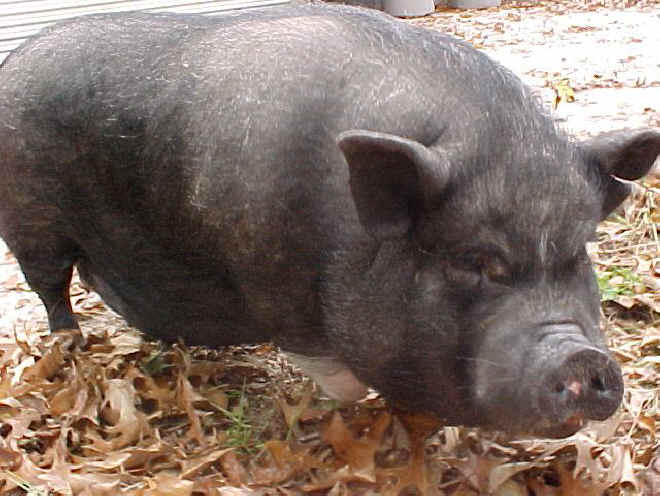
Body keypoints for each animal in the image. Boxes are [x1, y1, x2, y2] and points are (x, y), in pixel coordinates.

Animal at [0, 4, 658, 438]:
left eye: (578, 254)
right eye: (475, 260)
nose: (586, 357)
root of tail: (19, 57)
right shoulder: (279, 294)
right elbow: (338, 376)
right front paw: (342, 415)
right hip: (31, 223)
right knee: (51, 286)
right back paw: (70, 343)